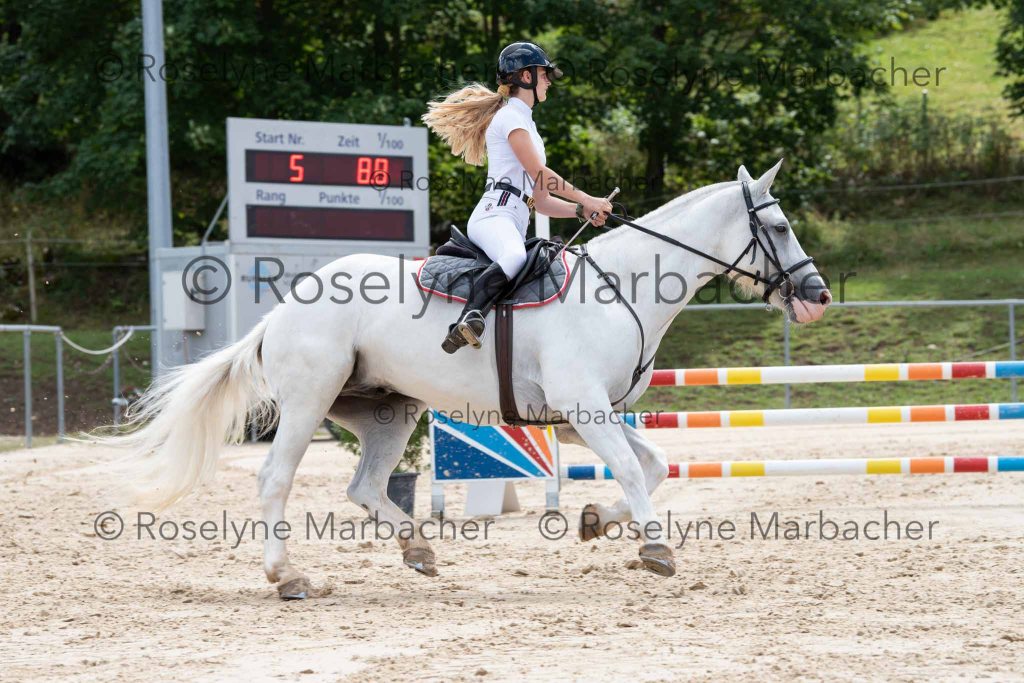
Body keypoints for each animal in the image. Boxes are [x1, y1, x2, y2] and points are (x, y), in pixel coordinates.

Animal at [111, 160, 831, 599]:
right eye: (778, 226)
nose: (818, 295)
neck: (621, 288)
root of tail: (282, 308)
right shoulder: (584, 408)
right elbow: (633, 469)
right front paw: (656, 551)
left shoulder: (579, 418)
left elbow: (651, 466)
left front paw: (596, 521)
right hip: (309, 401)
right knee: (276, 479)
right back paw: (288, 575)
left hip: (388, 410)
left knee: (366, 486)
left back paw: (418, 551)